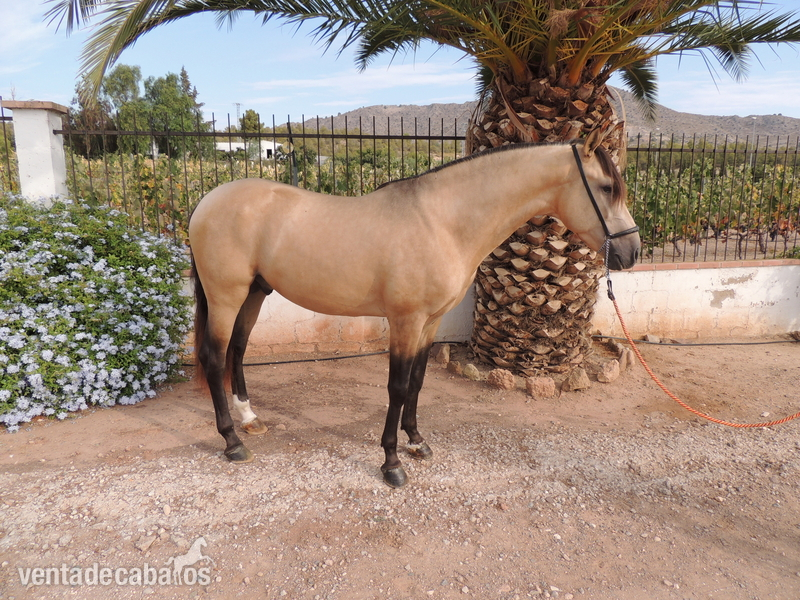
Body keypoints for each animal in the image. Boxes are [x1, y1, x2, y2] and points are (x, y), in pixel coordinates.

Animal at [188, 129, 640, 488]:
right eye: (606, 187)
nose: (631, 252)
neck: (442, 222)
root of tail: (206, 201)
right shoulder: (405, 322)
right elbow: (398, 386)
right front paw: (391, 463)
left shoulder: (430, 322)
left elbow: (419, 381)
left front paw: (417, 442)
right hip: (226, 296)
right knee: (215, 357)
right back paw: (232, 441)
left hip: (254, 293)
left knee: (237, 351)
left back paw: (249, 418)